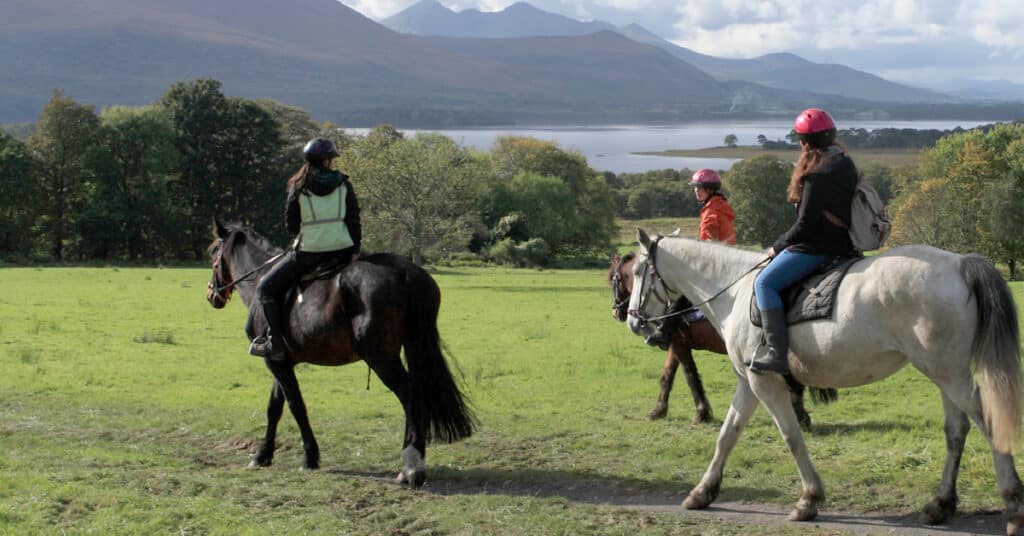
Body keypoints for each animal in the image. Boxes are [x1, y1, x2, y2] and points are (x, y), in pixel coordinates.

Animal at [205, 219, 475, 487]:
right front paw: (263, 455)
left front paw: (309, 457)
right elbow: (275, 407)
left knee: (409, 394)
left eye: (212, 252)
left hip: (381, 359)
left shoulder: (274, 362)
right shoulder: (281, 361)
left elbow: (295, 406)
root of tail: (407, 273)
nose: (211, 294)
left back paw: (411, 465)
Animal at [609, 253, 823, 428]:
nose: (616, 312)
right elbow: (667, 376)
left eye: (613, 279)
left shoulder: (679, 344)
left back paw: (799, 416)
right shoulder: (676, 344)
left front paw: (701, 413)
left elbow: (691, 377)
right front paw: (659, 410)